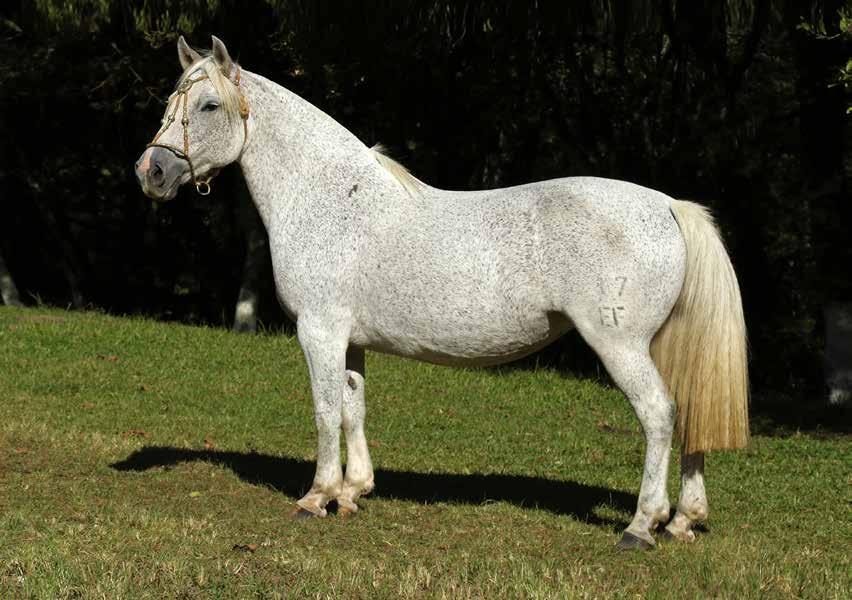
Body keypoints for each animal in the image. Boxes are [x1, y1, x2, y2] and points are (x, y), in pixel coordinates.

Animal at [136, 37, 748, 552]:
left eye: (208, 106)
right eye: (171, 100)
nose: (151, 171)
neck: (329, 195)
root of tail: (668, 205)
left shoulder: (319, 331)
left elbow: (326, 410)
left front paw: (316, 497)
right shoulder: (349, 341)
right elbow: (354, 408)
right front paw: (352, 492)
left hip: (620, 345)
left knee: (659, 414)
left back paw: (642, 526)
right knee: (689, 414)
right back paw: (683, 520)